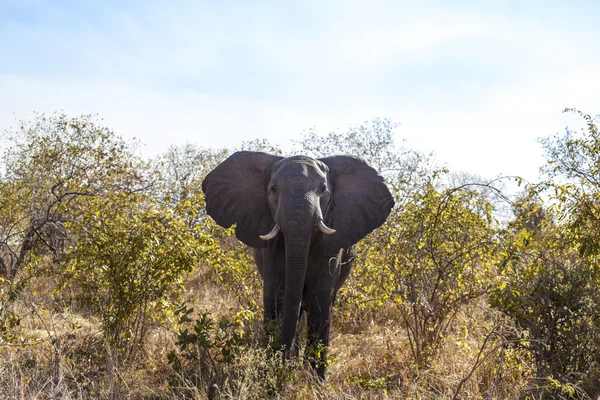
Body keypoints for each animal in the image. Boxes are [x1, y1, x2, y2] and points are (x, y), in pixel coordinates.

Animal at [202, 150, 394, 378]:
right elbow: (276, 298)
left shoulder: (330, 244)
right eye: (273, 189)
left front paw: (315, 381)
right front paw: (273, 372)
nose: (283, 363)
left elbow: (320, 299)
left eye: (323, 190)